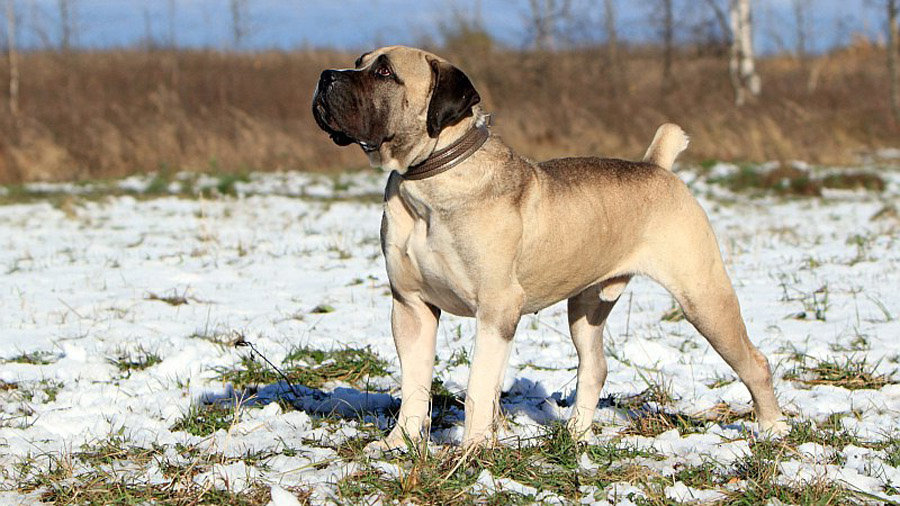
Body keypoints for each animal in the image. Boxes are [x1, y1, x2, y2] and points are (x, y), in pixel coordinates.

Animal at [312, 46, 787, 450]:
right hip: (587, 307)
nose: (325, 75)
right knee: (595, 365)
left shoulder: (496, 308)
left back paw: (772, 430)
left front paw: (471, 450)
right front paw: (400, 444)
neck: (428, 180)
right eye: (359, 62)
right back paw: (575, 436)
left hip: (703, 297)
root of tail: (658, 168)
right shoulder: (410, 305)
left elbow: (479, 383)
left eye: (384, 72)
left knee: (754, 362)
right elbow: (414, 382)